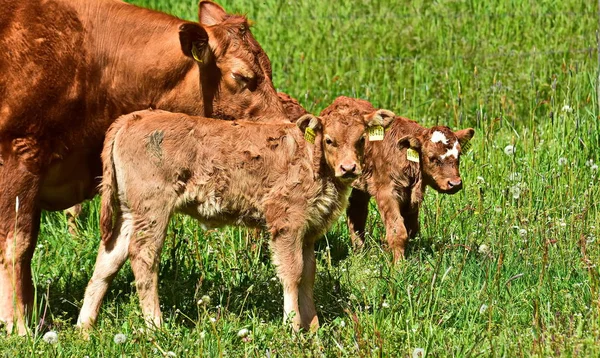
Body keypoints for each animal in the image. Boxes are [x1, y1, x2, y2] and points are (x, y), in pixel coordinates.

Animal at [76, 106, 394, 332]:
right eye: (330, 140)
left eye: (361, 139)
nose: (349, 168)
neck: (312, 160)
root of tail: (133, 118)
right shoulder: (285, 224)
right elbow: (292, 273)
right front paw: (293, 327)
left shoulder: (308, 231)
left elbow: (308, 275)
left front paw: (313, 329)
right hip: (152, 210)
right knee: (143, 257)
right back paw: (156, 326)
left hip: (129, 213)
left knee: (108, 259)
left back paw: (85, 328)